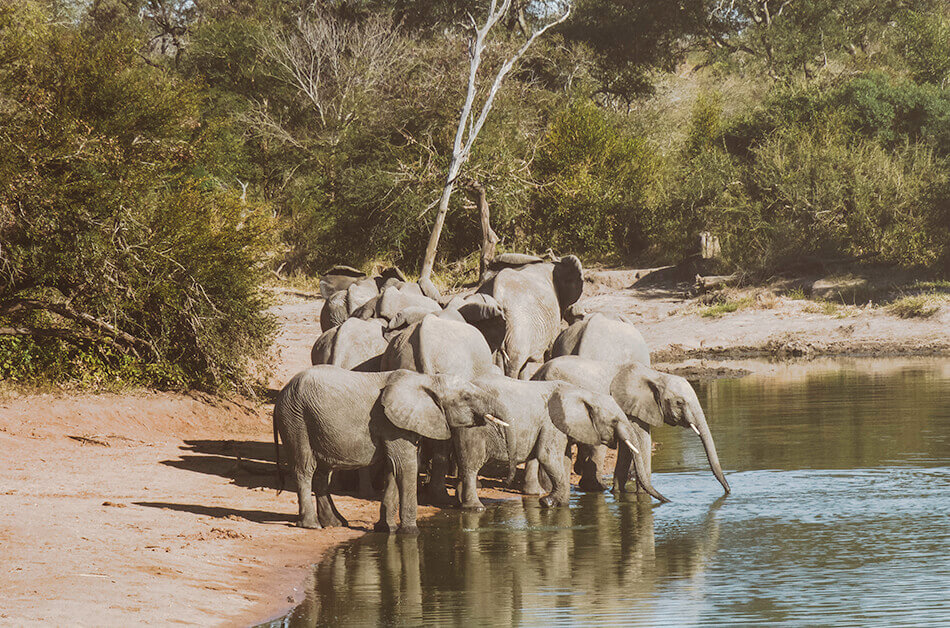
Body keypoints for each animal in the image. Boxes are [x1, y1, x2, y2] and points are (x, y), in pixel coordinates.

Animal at [274, 364, 506, 536]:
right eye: (466, 397)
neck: (427, 380)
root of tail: (281, 393)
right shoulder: (392, 423)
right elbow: (406, 466)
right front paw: (411, 533)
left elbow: (392, 469)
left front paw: (388, 529)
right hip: (296, 419)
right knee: (305, 468)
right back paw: (311, 525)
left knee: (322, 473)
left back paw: (335, 523)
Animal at [456, 372, 668, 510]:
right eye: (614, 421)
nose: (668, 501)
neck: (582, 393)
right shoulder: (552, 422)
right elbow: (548, 456)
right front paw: (547, 502)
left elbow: (564, 460)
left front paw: (560, 503)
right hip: (473, 428)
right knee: (471, 464)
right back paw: (475, 508)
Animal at [540, 356, 732, 498]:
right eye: (679, 403)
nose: (728, 491)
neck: (656, 376)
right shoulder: (629, 407)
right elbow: (641, 441)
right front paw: (642, 495)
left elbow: (629, 447)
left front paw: (619, 492)